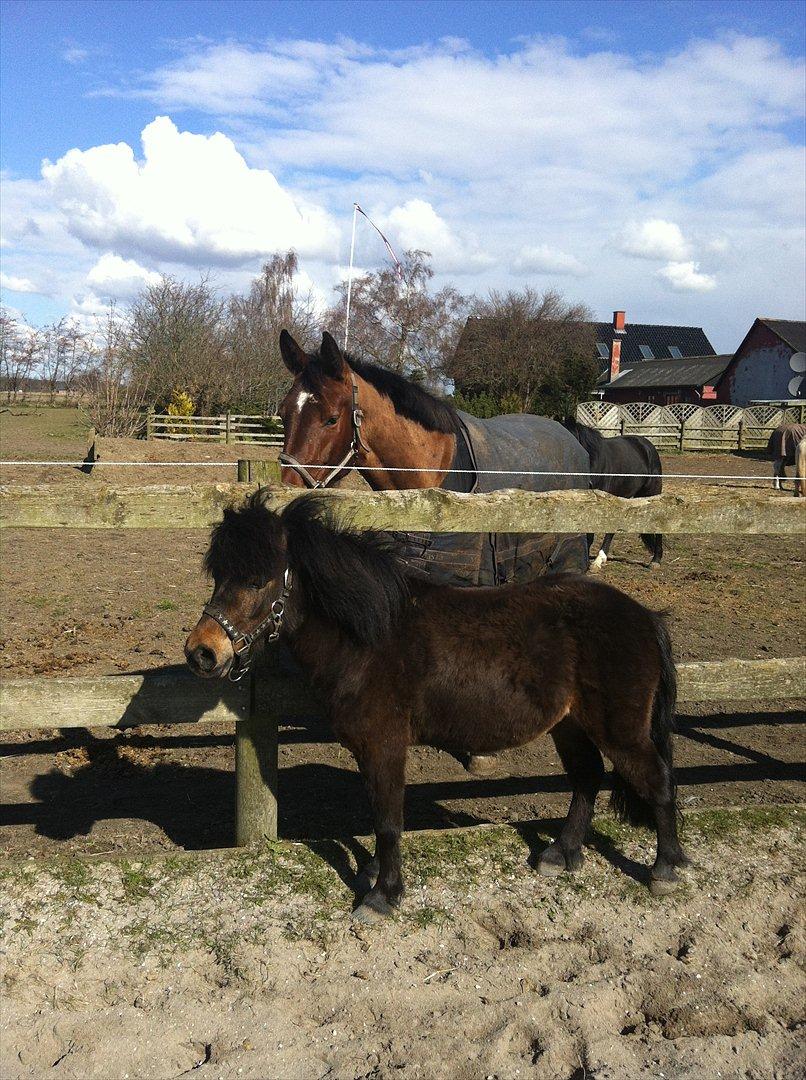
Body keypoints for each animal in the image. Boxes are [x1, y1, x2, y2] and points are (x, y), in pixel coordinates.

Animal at [184, 494, 687, 920]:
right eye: (218, 577)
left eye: (257, 580)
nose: (201, 653)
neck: (369, 637)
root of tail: (645, 617)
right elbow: (378, 812)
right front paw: (374, 874)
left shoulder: (384, 743)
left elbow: (388, 820)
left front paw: (382, 895)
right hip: (570, 725)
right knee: (586, 779)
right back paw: (561, 854)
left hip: (620, 730)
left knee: (657, 780)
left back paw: (665, 869)